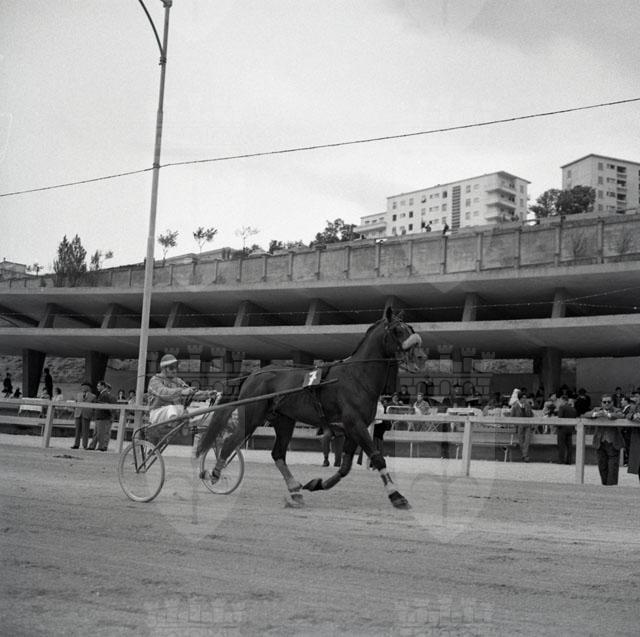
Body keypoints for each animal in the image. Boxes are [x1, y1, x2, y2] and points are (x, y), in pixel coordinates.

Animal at [196, 307, 426, 509]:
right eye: (397, 330)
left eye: (410, 328)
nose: (421, 357)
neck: (356, 377)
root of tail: (253, 375)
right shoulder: (355, 424)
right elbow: (377, 458)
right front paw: (397, 496)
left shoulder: (354, 428)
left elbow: (345, 467)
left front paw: (317, 484)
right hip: (252, 416)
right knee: (229, 442)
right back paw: (214, 474)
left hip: (284, 421)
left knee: (278, 453)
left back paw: (295, 490)